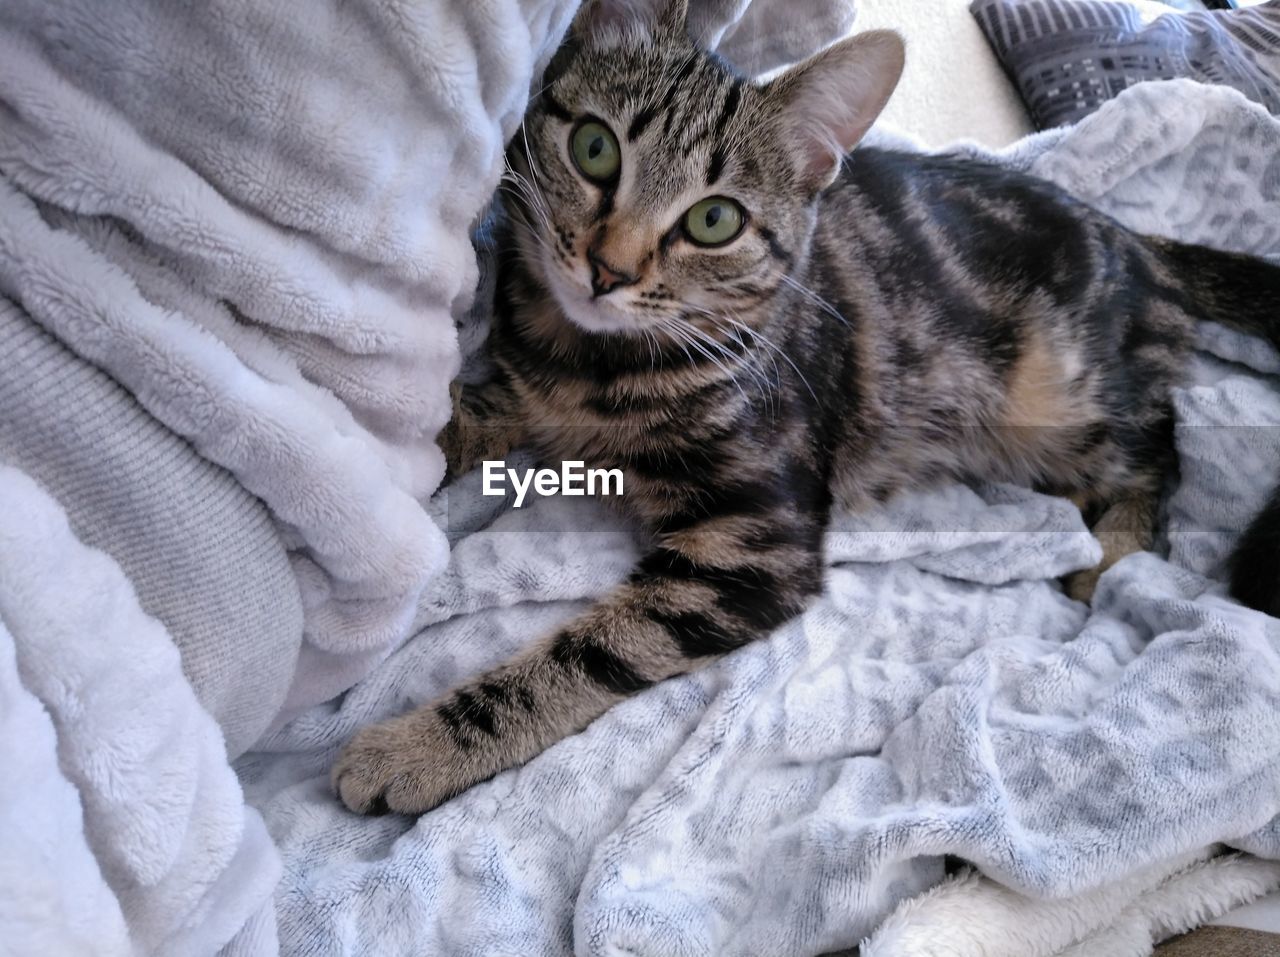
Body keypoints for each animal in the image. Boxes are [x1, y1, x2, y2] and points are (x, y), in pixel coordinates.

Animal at [332, 0, 1280, 813]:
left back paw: (1111, 548)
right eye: (595, 149)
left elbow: (590, 651)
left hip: (1061, 396)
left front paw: (414, 748)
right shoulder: (526, 388)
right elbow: (462, 419)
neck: (591, 362)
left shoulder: (756, 542)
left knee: (1164, 439)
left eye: (714, 221)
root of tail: (1136, 242)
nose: (609, 268)